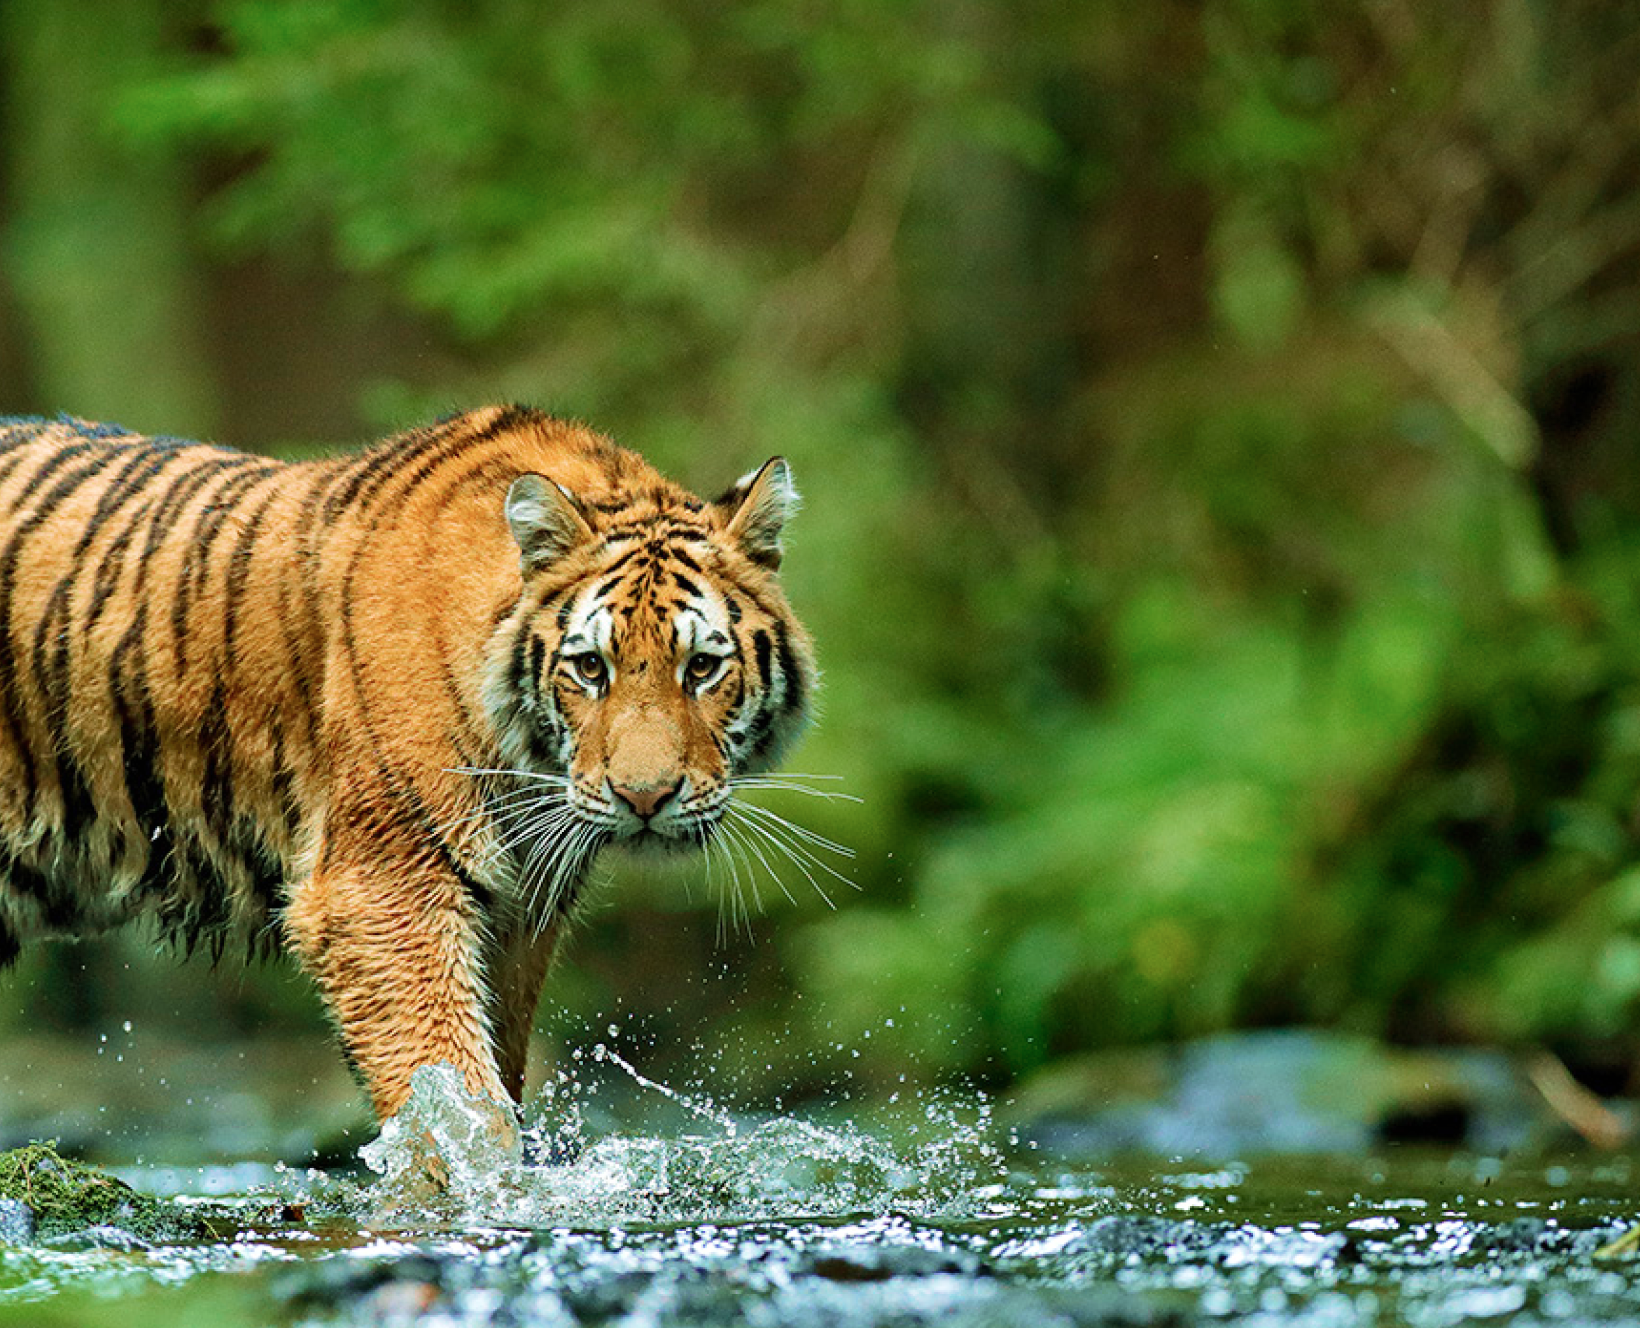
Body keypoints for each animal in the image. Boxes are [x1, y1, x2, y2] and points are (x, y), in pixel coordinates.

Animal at [0, 403, 813, 1114]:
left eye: (701, 668)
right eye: (590, 667)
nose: (645, 797)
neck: (527, 766)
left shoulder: (518, 916)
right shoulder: (381, 888)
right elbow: (453, 1087)